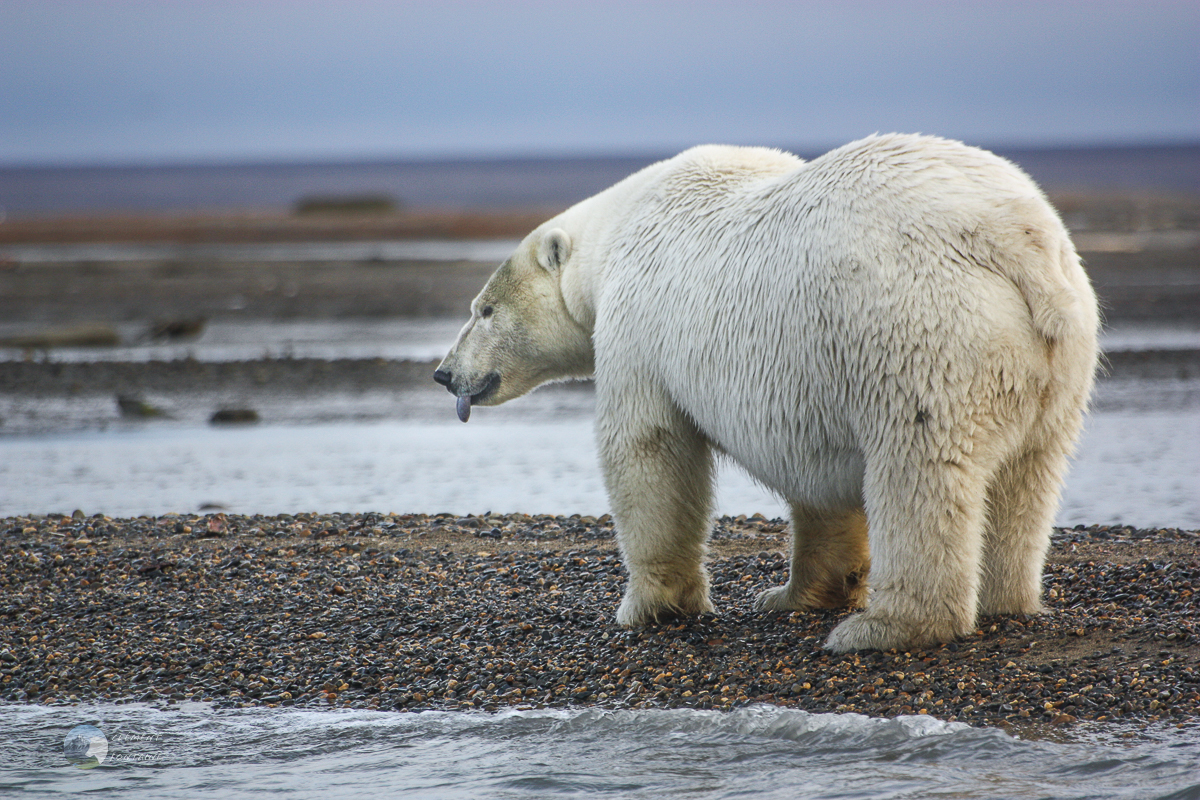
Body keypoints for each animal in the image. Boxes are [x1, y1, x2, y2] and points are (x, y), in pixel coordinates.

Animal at [436, 134, 1099, 652]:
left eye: (483, 309)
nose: (445, 373)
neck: (612, 238)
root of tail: (1015, 240)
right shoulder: (813, 374)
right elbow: (820, 477)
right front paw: (786, 595)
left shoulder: (640, 330)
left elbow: (649, 448)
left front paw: (650, 605)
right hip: (1058, 352)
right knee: (1028, 475)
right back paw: (1005, 598)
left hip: (920, 334)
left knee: (920, 471)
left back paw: (884, 628)